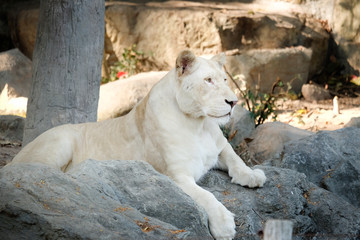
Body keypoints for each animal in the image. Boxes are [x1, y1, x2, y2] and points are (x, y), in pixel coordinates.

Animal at [9, 49, 266, 239]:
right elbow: (206, 197)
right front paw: (224, 226)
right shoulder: (176, 176)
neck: (199, 124)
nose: (233, 102)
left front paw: (253, 175)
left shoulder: (220, 147)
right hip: (60, 140)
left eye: (224, 79)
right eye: (208, 81)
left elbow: (236, 158)